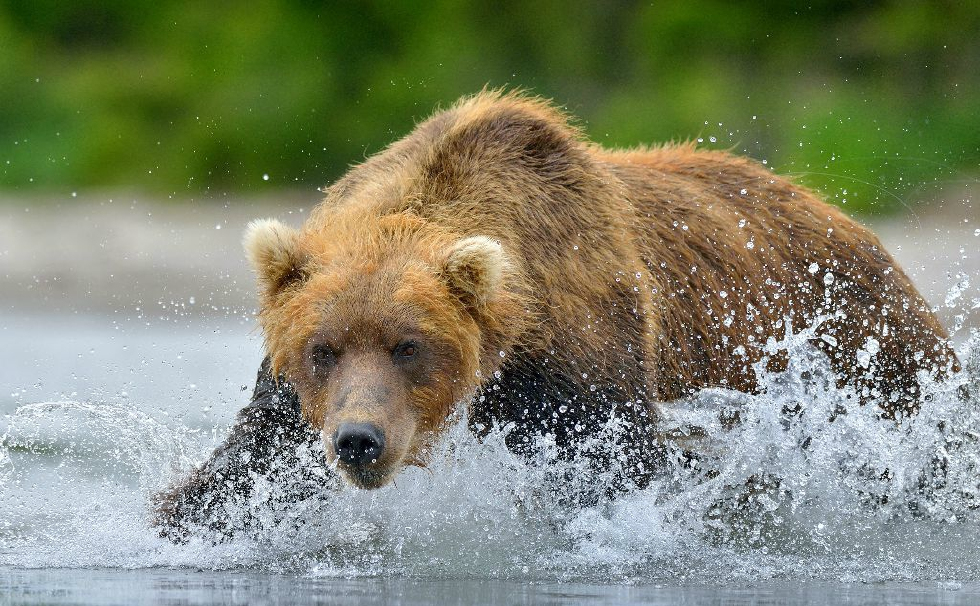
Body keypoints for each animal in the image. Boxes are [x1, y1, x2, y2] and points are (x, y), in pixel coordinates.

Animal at [154, 90, 958, 538]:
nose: (358, 440)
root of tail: (852, 222)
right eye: (323, 348)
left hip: (864, 346)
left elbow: (620, 469)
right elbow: (246, 464)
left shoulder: (588, 344)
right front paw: (177, 519)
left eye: (409, 345)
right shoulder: (291, 400)